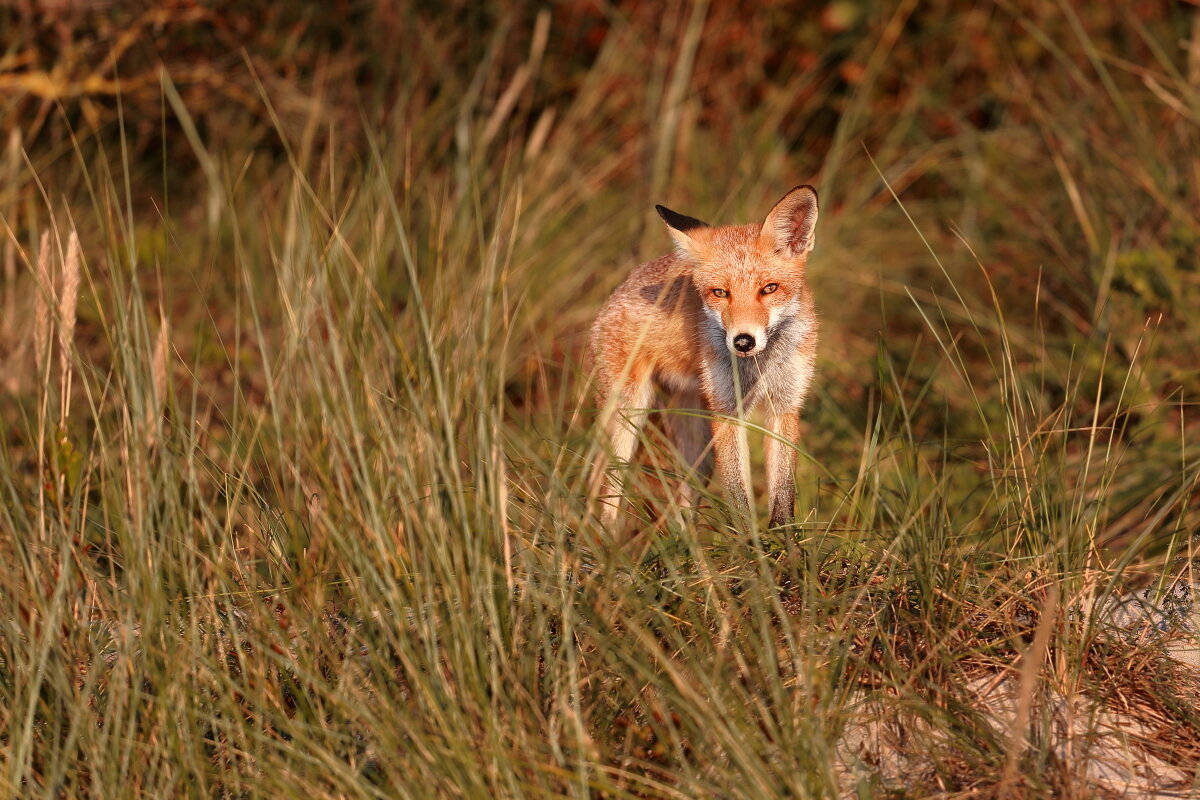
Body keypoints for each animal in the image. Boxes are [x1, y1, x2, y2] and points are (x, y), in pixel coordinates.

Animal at [588, 185, 820, 532]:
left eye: (769, 288)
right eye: (720, 293)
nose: (743, 341)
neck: (759, 365)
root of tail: (621, 288)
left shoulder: (785, 404)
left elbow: (782, 496)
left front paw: (784, 544)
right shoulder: (727, 411)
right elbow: (738, 497)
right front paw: (751, 544)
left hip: (697, 445)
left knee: (684, 504)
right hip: (627, 417)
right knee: (606, 490)